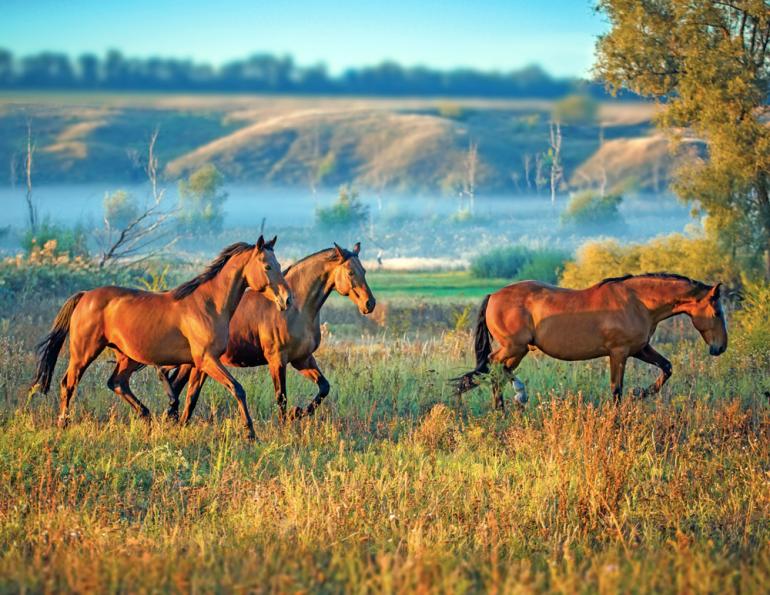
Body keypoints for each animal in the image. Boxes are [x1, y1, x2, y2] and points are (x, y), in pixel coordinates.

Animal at [32, 235, 292, 440]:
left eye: (278, 264)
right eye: (267, 266)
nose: (286, 299)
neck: (209, 304)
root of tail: (85, 296)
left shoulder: (201, 363)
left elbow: (191, 396)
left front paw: (178, 422)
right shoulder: (207, 359)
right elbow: (237, 389)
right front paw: (250, 433)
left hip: (127, 357)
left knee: (117, 383)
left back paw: (147, 418)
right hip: (84, 353)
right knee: (68, 383)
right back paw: (63, 424)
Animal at [156, 242, 376, 424]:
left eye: (364, 270)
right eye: (350, 272)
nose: (369, 304)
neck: (297, 309)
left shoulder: (302, 359)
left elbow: (324, 388)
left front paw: (297, 413)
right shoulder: (277, 360)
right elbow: (281, 397)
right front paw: (285, 425)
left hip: (193, 362)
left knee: (177, 384)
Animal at [455, 273, 727, 408]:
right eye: (717, 312)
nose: (720, 347)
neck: (638, 302)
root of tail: (493, 295)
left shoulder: (639, 349)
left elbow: (667, 368)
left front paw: (639, 393)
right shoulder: (619, 352)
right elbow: (616, 390)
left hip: (518, 350)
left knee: (496, 372)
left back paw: (503, 407)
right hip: (515, 347)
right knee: (493, 367)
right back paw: (514, 397)